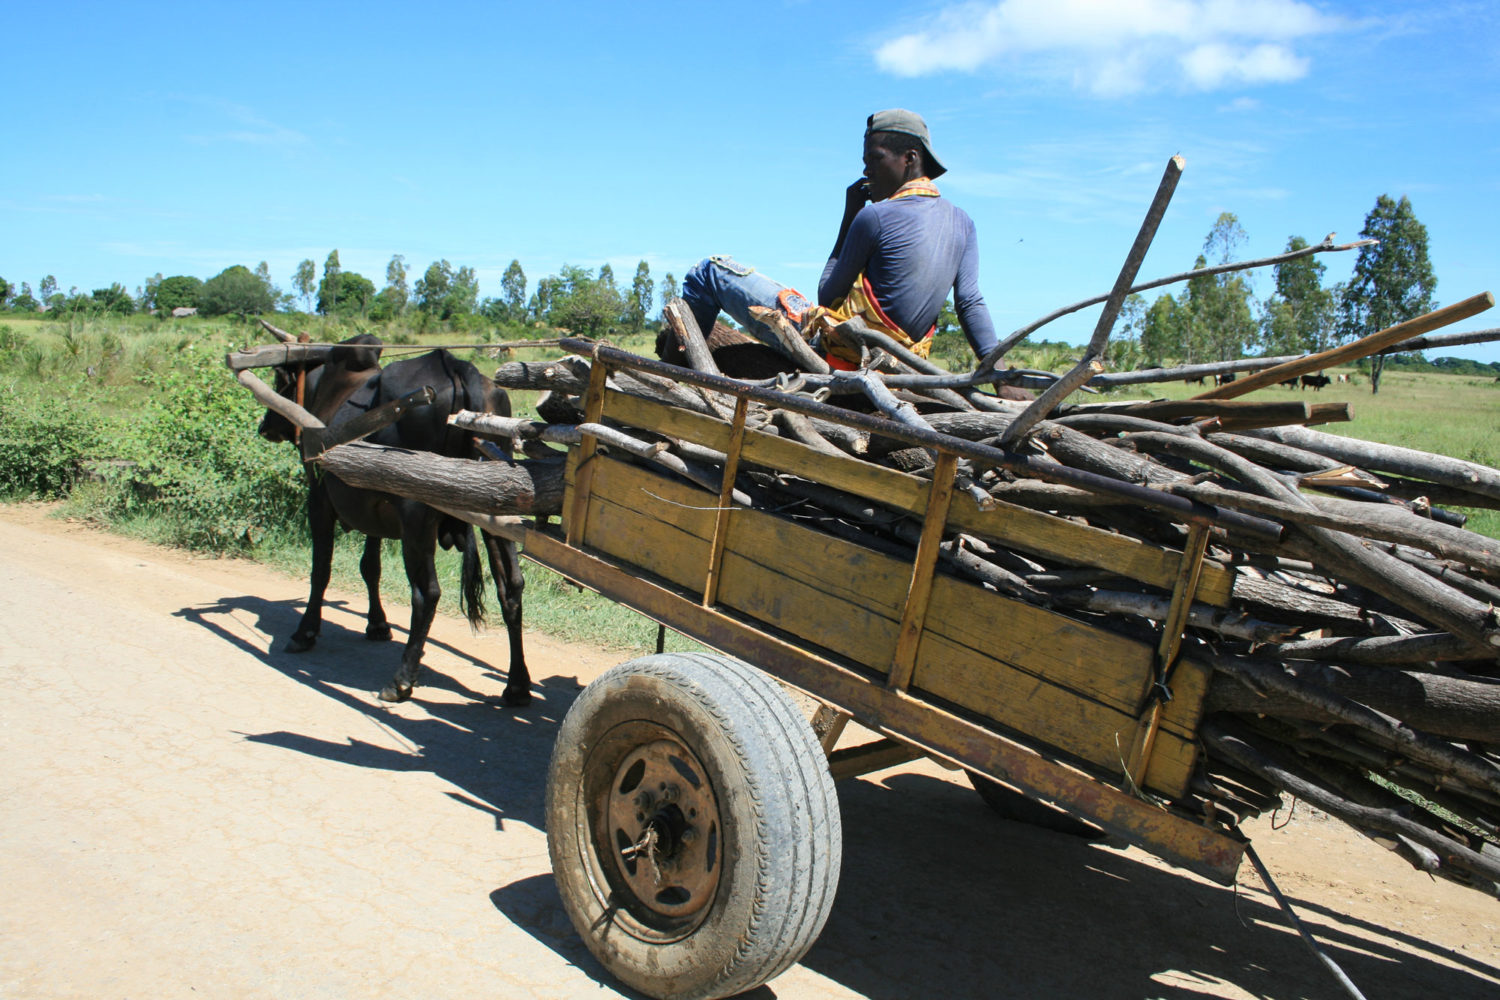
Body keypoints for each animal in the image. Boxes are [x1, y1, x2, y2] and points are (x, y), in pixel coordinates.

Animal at [261, 334, 531, 704]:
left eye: (278, 380)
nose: (264, 427)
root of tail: (456, 366)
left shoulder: (318, 497)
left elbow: (321, 570)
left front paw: (305, 632)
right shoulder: (374, 506)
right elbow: (370, 567)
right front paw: (377, 624)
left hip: (416, 513)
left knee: (427, 593)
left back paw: (402, 679)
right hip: (497, 510)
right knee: (512, 589)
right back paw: (517, 685)